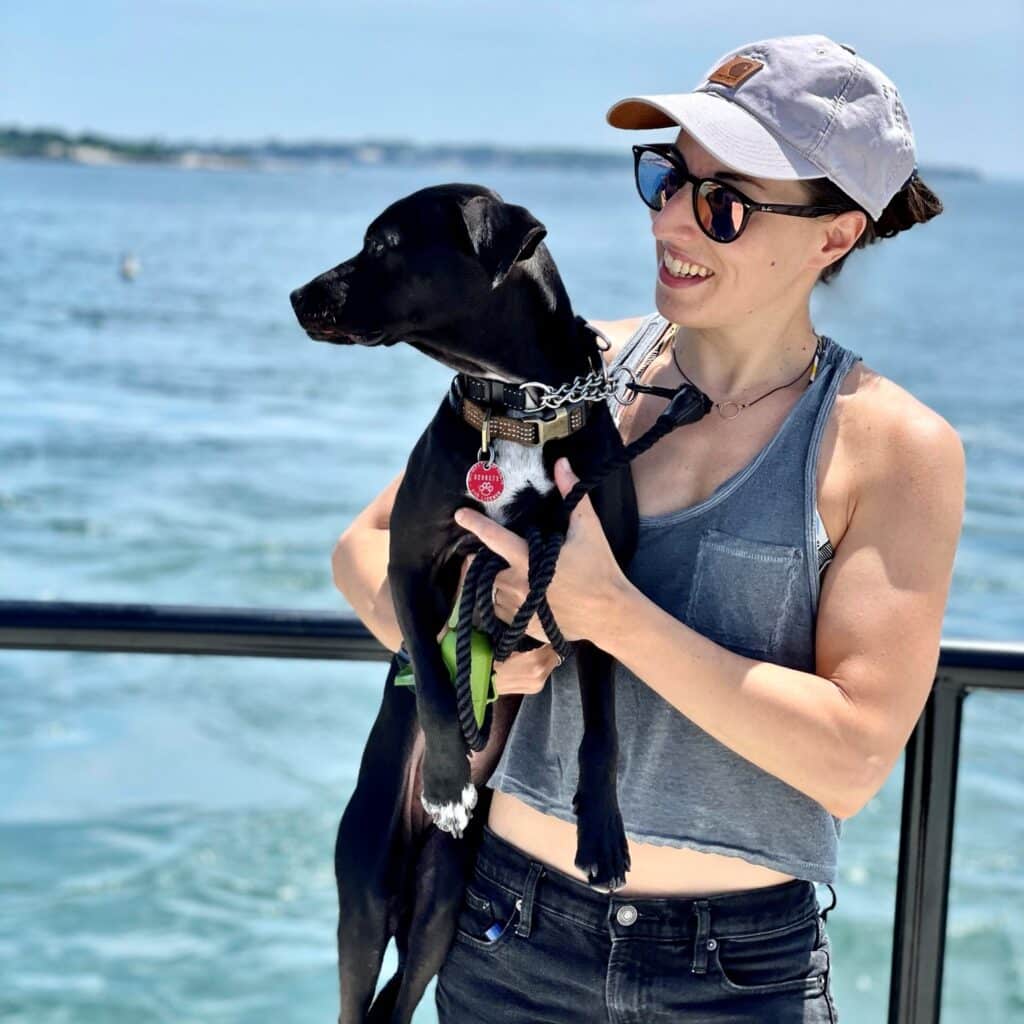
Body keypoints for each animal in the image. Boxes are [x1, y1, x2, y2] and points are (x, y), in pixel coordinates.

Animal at [290, 186, 638, 1024]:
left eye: (384, 244)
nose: (297, 297)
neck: (519, 407)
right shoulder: (411, 566)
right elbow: (436, 677)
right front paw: (449, 784)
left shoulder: (601, 594)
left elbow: (603, 731)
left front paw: (602, 836)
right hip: (366, 893)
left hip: (443, 907)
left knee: (398, 1001)